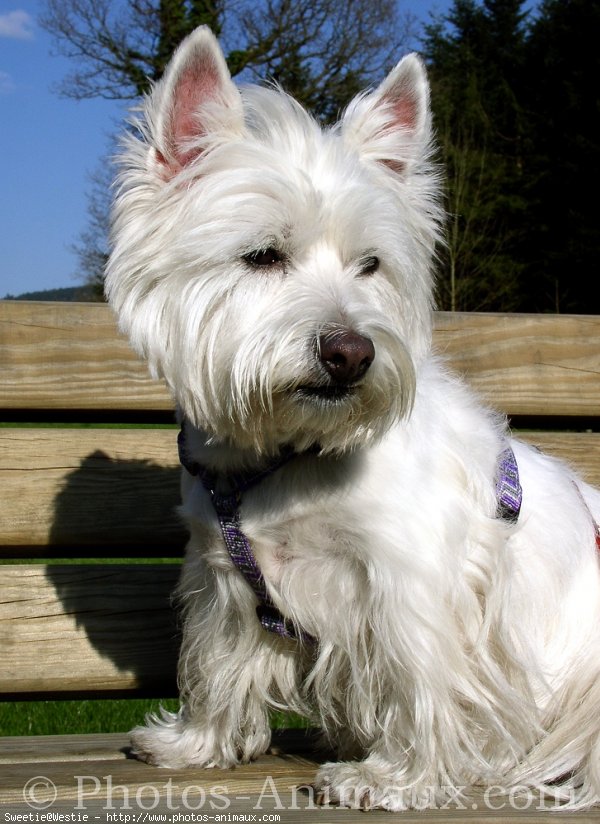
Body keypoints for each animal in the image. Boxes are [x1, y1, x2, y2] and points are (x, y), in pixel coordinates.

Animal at [105, 27, 600, 812]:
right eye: (262, 255)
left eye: (371, 264)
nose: (351, 353)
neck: (286, 454)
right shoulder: (222, 574)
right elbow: (216, 660)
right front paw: (196, 742)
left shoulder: (412, 581)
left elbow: (422, 681)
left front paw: (393, 778)